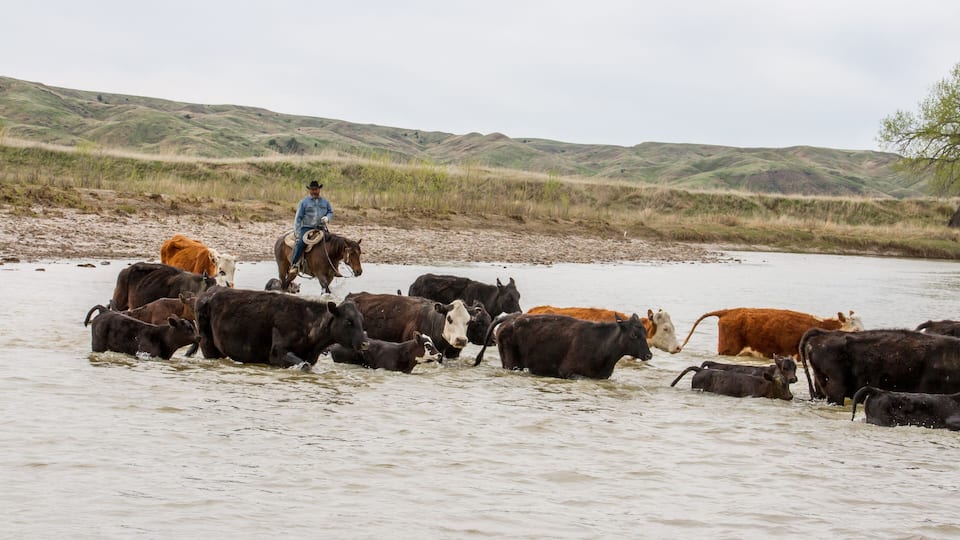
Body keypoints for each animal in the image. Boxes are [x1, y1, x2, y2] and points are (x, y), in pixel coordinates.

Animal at [193, 287, 367, 369]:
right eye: (348, 321)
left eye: (361, 319)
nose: (365, 343)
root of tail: (209, 293)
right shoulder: (277, 353)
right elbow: (304, 366)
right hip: (208, 346)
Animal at [473, 312, 653, 379]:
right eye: (634, 335)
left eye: (645, 332)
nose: (649, 355)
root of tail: (510, 318)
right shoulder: (568, 372)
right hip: (511, 363)